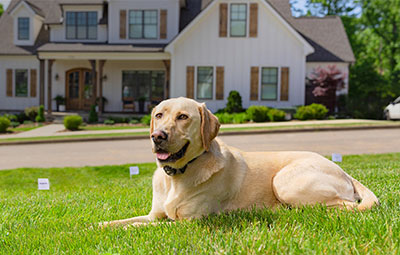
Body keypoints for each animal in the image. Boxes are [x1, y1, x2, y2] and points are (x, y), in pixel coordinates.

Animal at [102, 97, 378, 227]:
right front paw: (98, 225)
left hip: (285, 181)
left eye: (183, 117)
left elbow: (139, 228)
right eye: (159, 115)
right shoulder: (154, 216)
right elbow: (123, 221)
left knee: (345, 205)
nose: (157, 136)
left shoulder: (188, 222)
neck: (177, 175)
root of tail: (343, 170)